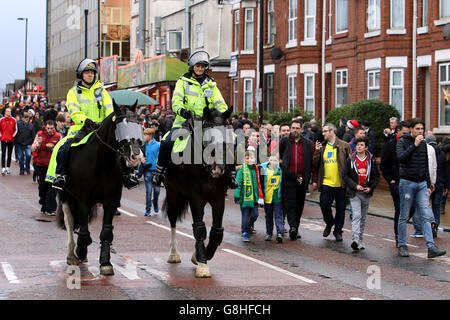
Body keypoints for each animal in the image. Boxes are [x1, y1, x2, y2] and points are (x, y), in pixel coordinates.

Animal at [55, 101, 142, 276]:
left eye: (137, 124)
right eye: (119, 127)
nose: (135, 157)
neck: (101, 162)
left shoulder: (111, 201)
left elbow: (106, 232)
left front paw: (105, 263)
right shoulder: (82, 200)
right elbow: (85, 234)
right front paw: (80, 251)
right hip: (67, 197)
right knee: (70, 223)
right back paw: (71, 255)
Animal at [165, 105, 236, 278]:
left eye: (227, 134)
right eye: (207, 136)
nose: (218, 167)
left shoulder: (218, 199)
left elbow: (216, 232)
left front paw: (200, 256)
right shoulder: (195, 198)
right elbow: (199, 229)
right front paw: (203, 265)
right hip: (172, 191)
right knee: (172, 219)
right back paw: (174, 254)